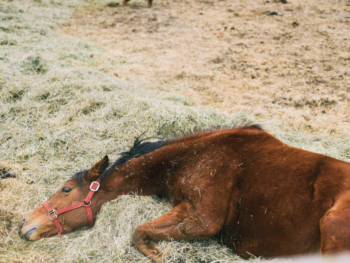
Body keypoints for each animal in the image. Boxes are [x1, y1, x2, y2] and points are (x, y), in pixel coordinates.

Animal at [19, 126, 350, 262]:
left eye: (65, 189)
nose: (24, 225)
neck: (191, 156)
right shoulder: (184, 207)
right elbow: (140, 231)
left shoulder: (205, 219)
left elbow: (138, 233)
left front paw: (159, 255)